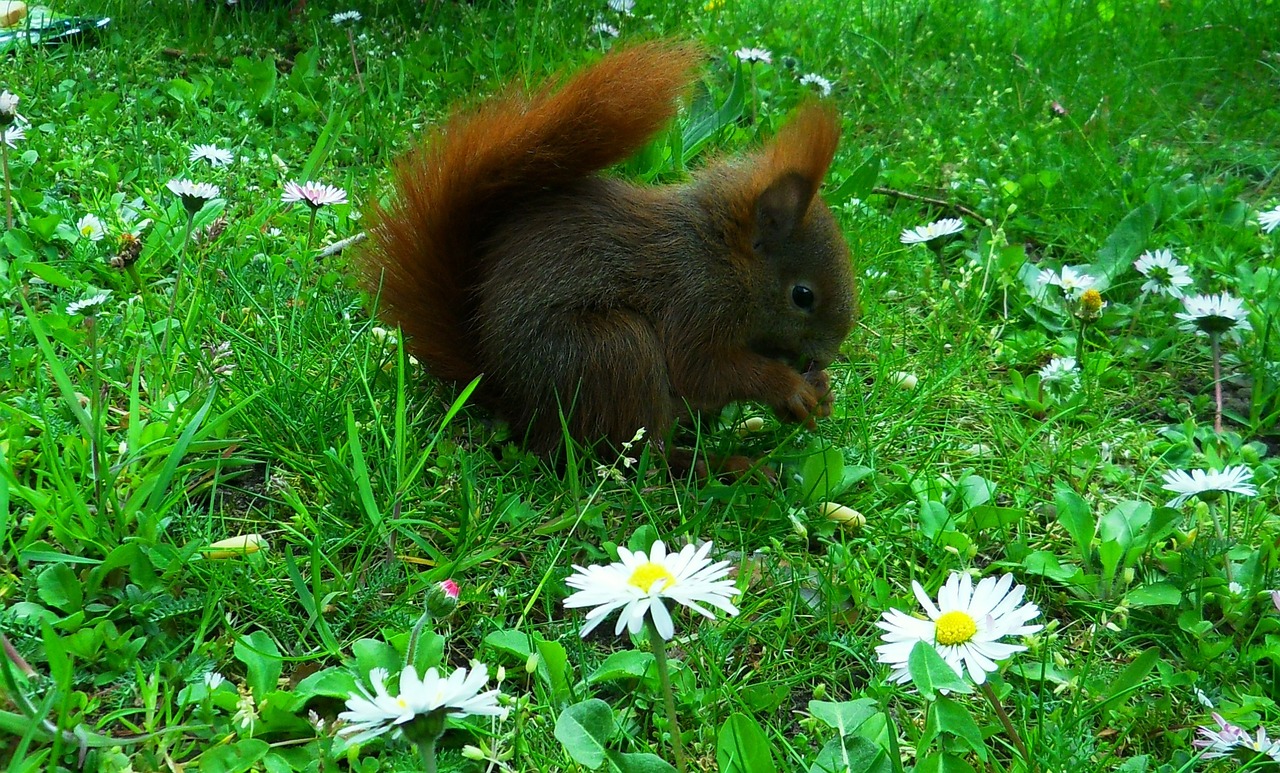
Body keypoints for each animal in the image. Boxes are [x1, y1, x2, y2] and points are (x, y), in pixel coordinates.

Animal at [360, 40, 855, 465]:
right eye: (803, 296)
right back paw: (722, 468)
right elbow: (699, 369)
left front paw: (820, 392)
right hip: (612, 352)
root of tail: (509, 398)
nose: (826, 357)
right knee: (640, 458)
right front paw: (789, 387)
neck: (718, 254)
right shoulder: (694, 299)